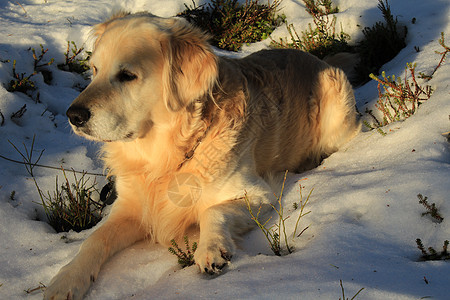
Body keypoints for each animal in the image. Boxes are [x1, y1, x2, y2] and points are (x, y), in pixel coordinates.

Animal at [44, 11, 360, 300]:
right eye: (94, 70)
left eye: (127, 76)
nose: (74, 116)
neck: (166, 159)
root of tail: (319, 59)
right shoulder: (130, 207)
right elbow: (95, 239)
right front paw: (66, 280)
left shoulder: (258, 194)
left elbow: (213, 210)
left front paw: (211, 249)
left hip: (337, 112)